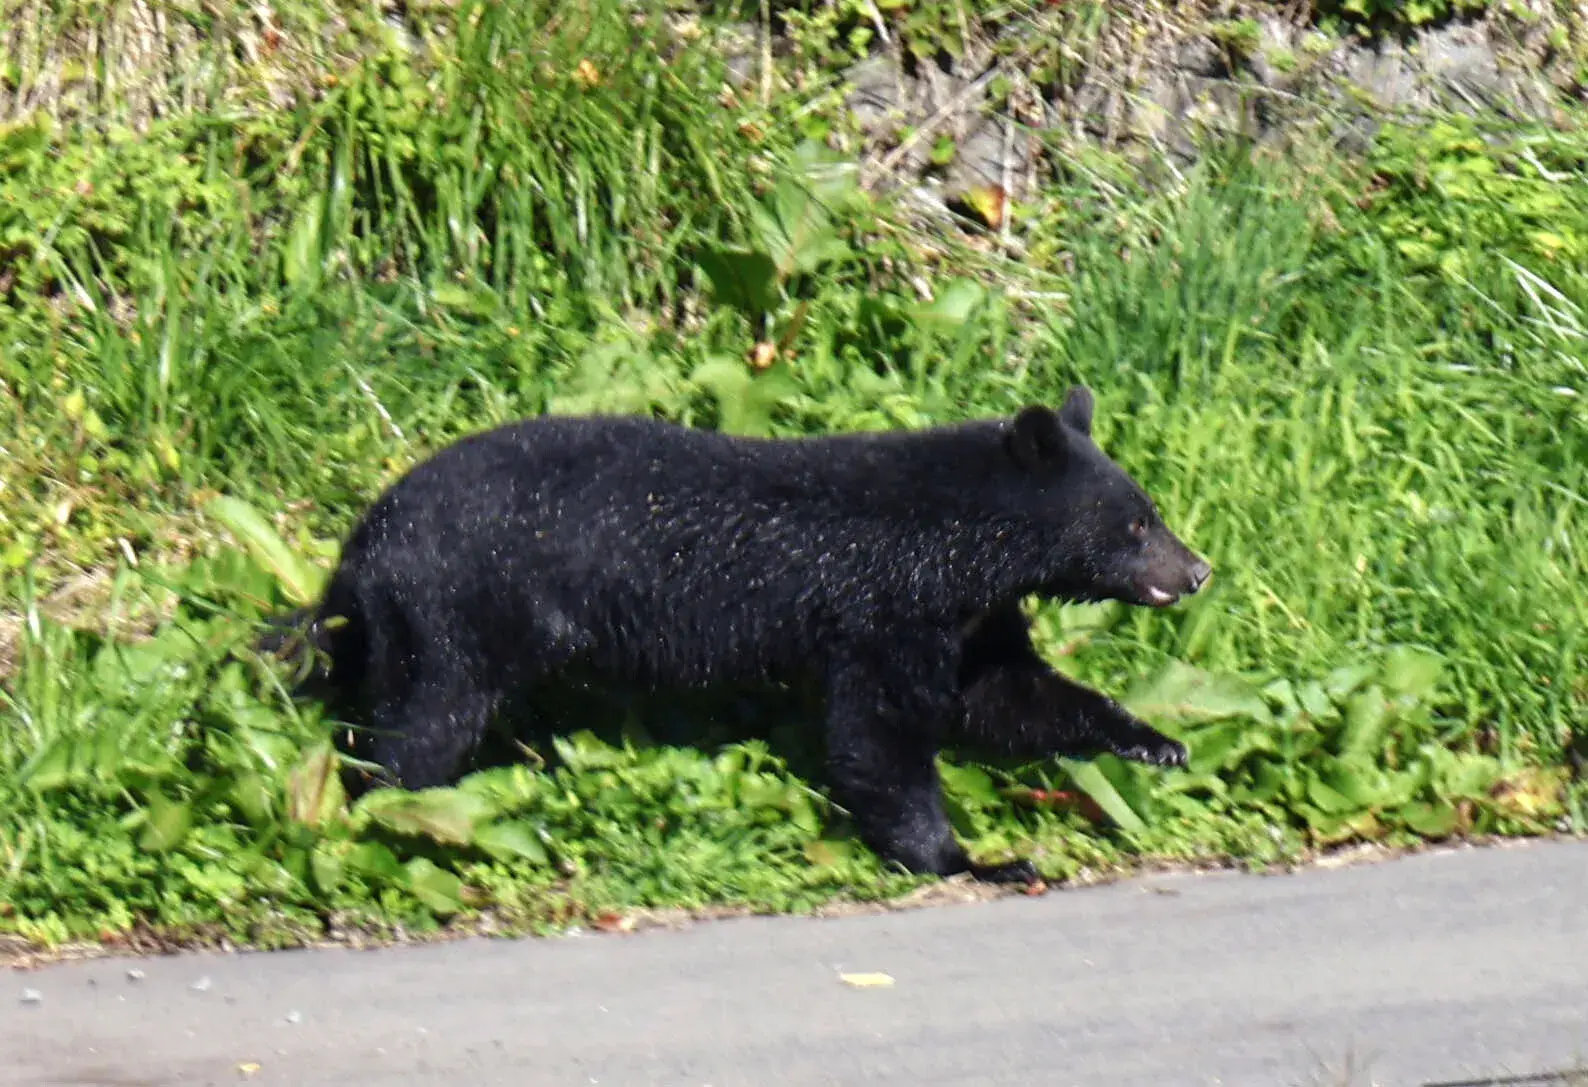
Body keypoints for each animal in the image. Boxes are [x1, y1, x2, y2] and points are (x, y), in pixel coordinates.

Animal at [272, 386, 1211, 884]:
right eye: (1135, 523)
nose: (1197, 568)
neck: (958, 543)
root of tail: (361, 542)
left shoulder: (970, 620)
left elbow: (1009, 693)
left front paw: (1154, 740)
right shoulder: (883, 610)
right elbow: (881, 736)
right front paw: (968, 858)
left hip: (402, 620)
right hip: (456, 610)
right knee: (421, 727)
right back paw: (391, 822)